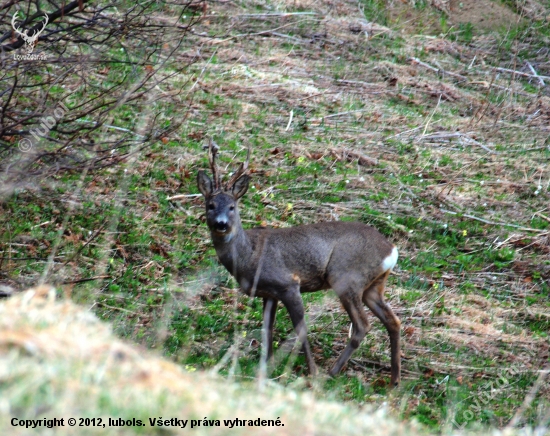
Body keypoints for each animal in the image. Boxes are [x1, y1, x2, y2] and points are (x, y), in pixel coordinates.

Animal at [197, 142, 402, 384]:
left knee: (362, 325)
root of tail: (391, 250)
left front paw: (311, 371)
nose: (221, 224)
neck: (249, 255)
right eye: (210, 205)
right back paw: (394, 381)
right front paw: (265, 367)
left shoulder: (289, 284)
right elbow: (267, 329)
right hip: (373, 286)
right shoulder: (269, 293)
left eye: (232, 207)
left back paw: (331, 372)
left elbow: (300, 328)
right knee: (393, 321)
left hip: (346, 276)